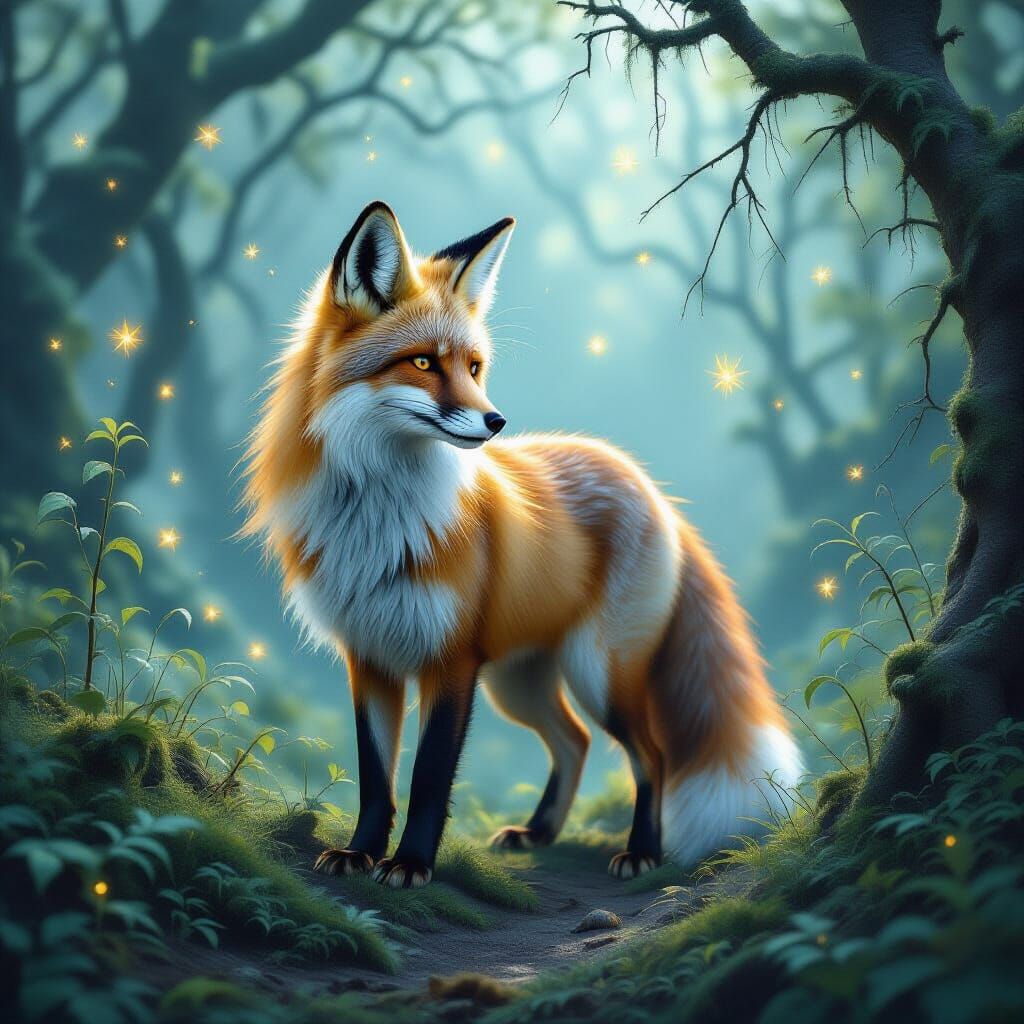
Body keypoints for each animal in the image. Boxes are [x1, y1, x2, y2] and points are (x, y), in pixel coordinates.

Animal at [242, 200, 802, 888]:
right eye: (423, 363)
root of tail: (645, 481)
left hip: (596, 672)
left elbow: (429, 779)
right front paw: (359, 853)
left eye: (474, 367)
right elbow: (376, 779)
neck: (379, 519)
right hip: (519, 683)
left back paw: (642, 851)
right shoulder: (369, 658)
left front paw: (411, 864)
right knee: (575, 741)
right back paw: (539, 832)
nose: (496, 421)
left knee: (651, 754)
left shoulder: (451, 661)